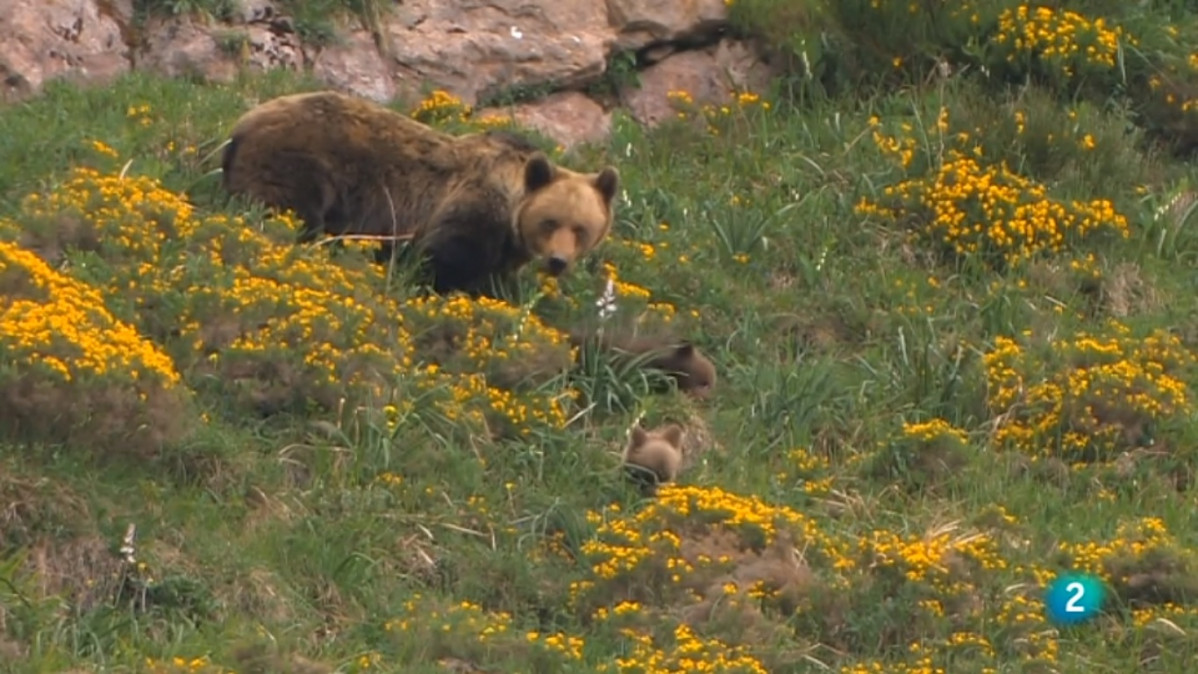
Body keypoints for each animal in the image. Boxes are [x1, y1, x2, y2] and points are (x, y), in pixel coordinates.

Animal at [219, 90, 622, 295]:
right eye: (550, 221)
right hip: (300, 163)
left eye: (581, 228)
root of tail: (242, 124)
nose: (558, 261)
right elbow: (443, 257)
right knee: (289, 209)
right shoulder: (473, 209)